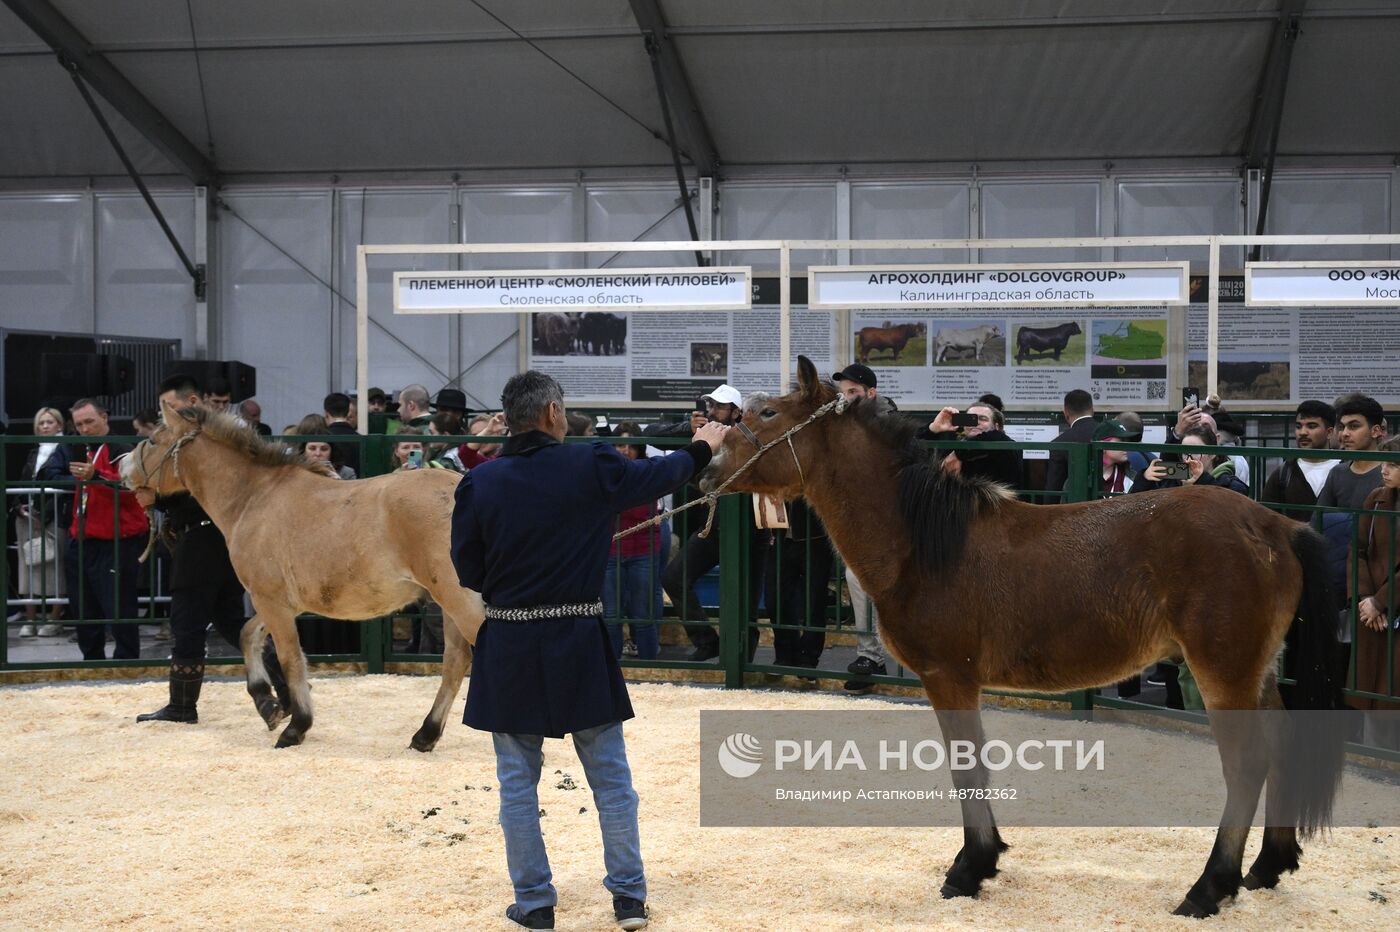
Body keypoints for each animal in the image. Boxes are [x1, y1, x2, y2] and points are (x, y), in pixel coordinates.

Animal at [121, 400, 481, 750]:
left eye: (152, 440)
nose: (123, 467)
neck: (254, 497)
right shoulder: (277, 602)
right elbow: (249, 636)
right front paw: (268, 704)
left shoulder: (271, 601)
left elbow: (290, 658)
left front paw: (295, 727)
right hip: (446, 604)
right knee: (456, 661)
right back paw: (425, 735)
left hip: (458, 600)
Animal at [700, 354, 1344, 912]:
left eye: (767, 414)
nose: (706, 471)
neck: (925, 543)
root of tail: (1275, 525)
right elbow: (976, 764)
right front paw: (984, 861)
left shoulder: (947, 676)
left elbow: (965, 766)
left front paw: (970, 868)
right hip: (1258, 670)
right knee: (1282, 745)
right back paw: (1267, 866)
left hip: (1223, 670)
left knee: (1248, 765)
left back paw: (1210, 888)